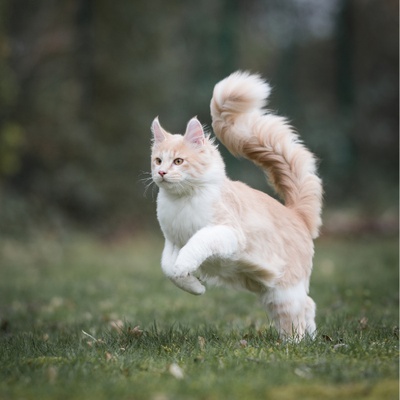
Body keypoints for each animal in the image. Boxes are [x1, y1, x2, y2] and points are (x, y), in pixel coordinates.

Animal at [150, 70, 322, 340]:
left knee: (297, 316)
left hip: (284, 292)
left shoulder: (227, 232)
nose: (162, 172)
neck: (181, 201)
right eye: (158, 160)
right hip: (270, 291)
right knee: (308, 305)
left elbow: (196, 245)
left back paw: (295, 344)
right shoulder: (172, 242)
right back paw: (311, 339)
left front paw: (186, 267)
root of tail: (296, 214)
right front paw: (195, 287)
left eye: (178, 161)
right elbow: (168, 268)